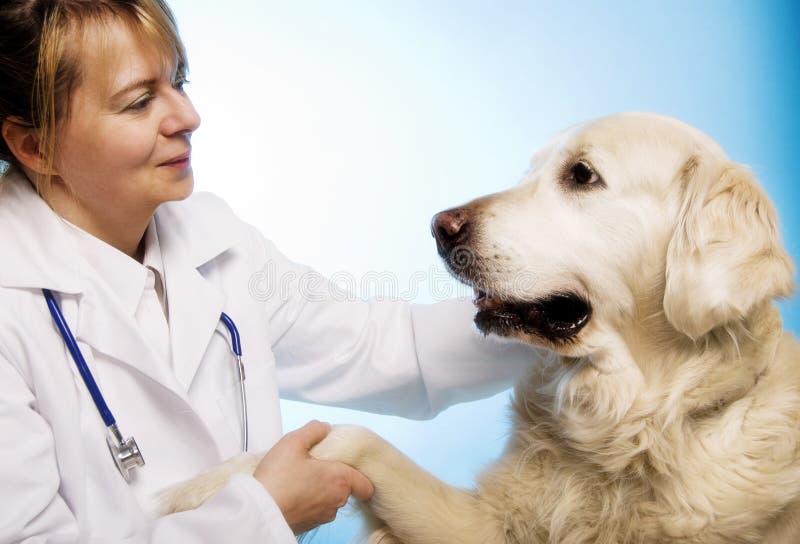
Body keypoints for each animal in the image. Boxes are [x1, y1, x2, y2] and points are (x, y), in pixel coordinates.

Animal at [162, 112, 800, 540]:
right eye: (532, 170)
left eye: (582, 175)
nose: (439, 226)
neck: (630, 433)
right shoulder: (486, 524)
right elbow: (328, 443)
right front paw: (188, 494)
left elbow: (347, 437)